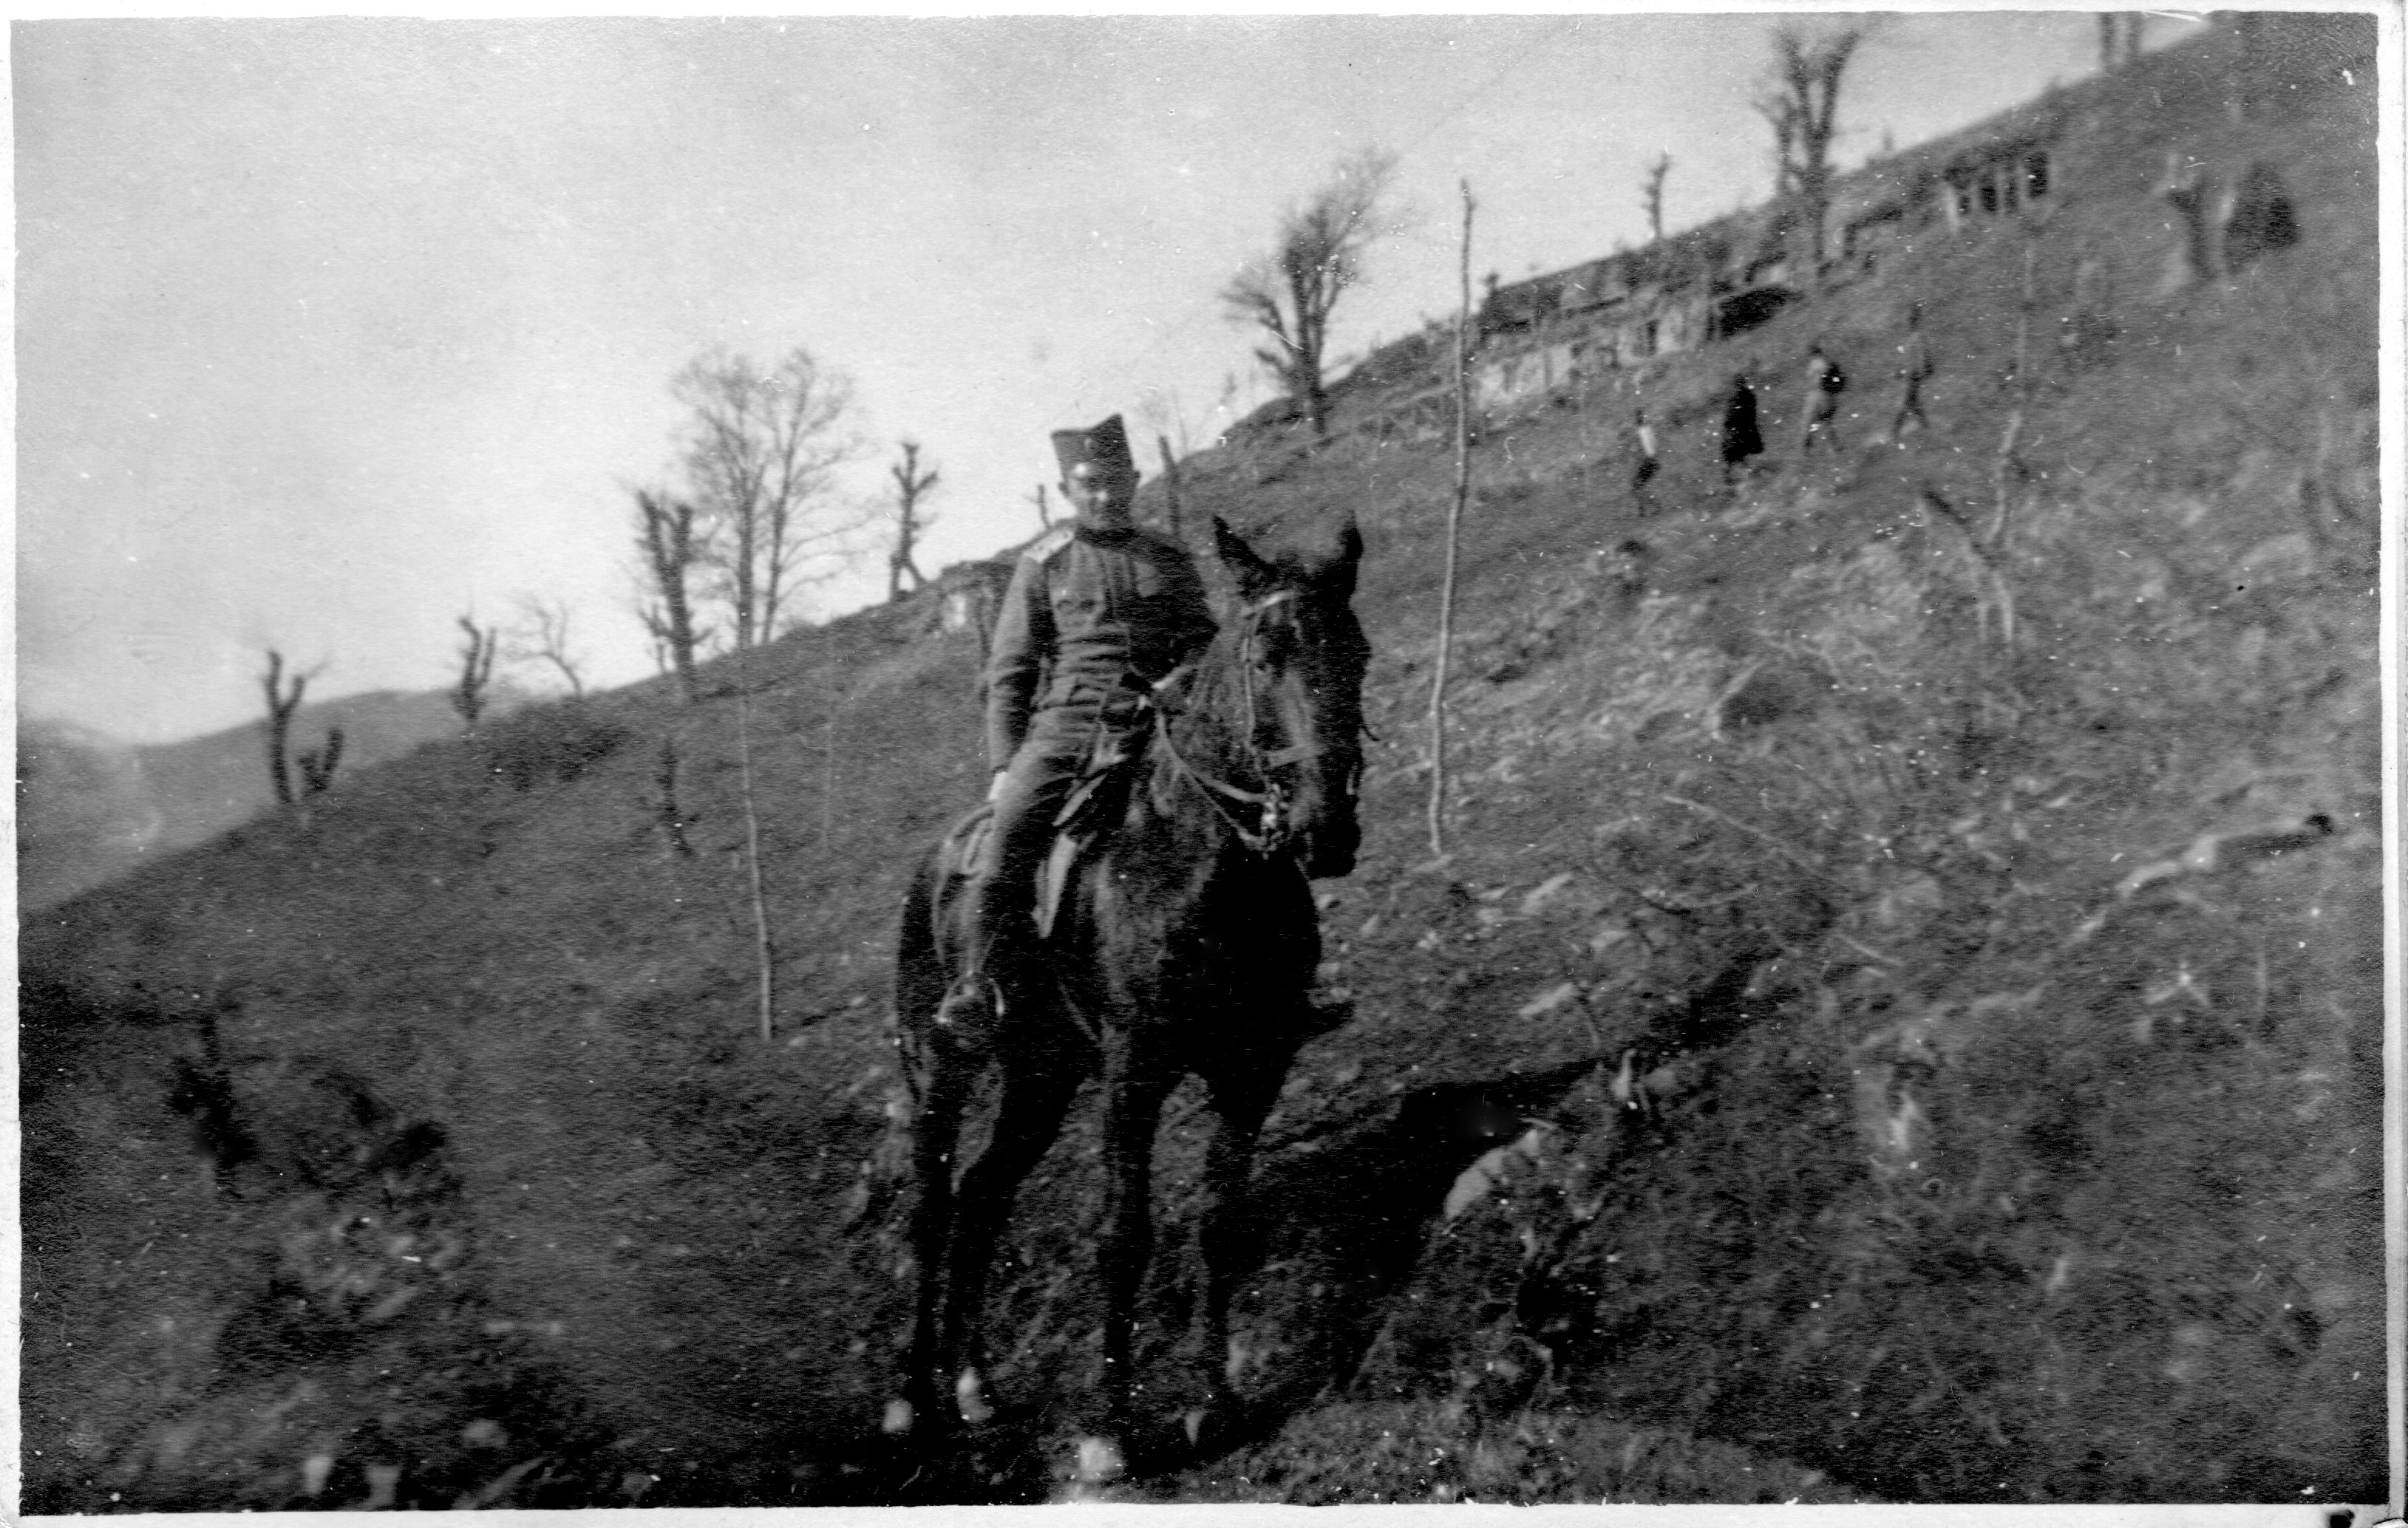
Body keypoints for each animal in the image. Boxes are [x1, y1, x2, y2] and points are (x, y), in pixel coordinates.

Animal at [889, 515, 1368, 1470]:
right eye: (1267, 655)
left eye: (1359, 653)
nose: (1326, 828)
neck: (1198, 865)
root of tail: (937, 860)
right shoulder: (1133, 1070)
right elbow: (1124, 1233)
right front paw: (1111, 1429)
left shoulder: (1253, 1067)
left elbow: (1219, 1222)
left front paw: (1217, 1403)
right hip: (940, 1067)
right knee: (931, 1209)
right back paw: (913, 1400)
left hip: (1042, 1074)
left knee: (983, 1194)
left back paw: (976, 1389)